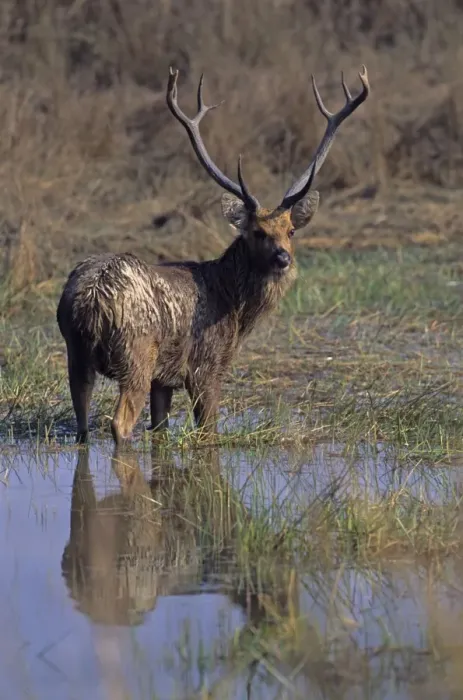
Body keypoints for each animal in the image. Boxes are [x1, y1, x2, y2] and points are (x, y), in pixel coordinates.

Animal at [57, 65, 370, 445]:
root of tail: (90, 300)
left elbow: (160, 429)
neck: (234, 306)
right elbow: (208, 429)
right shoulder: (206, 365)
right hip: (136, 353)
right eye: (256, 232)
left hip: (76, 352)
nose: (283, 259)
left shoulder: (164, 378)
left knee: (82, 423)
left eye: (290, 231)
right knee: (120, 422)